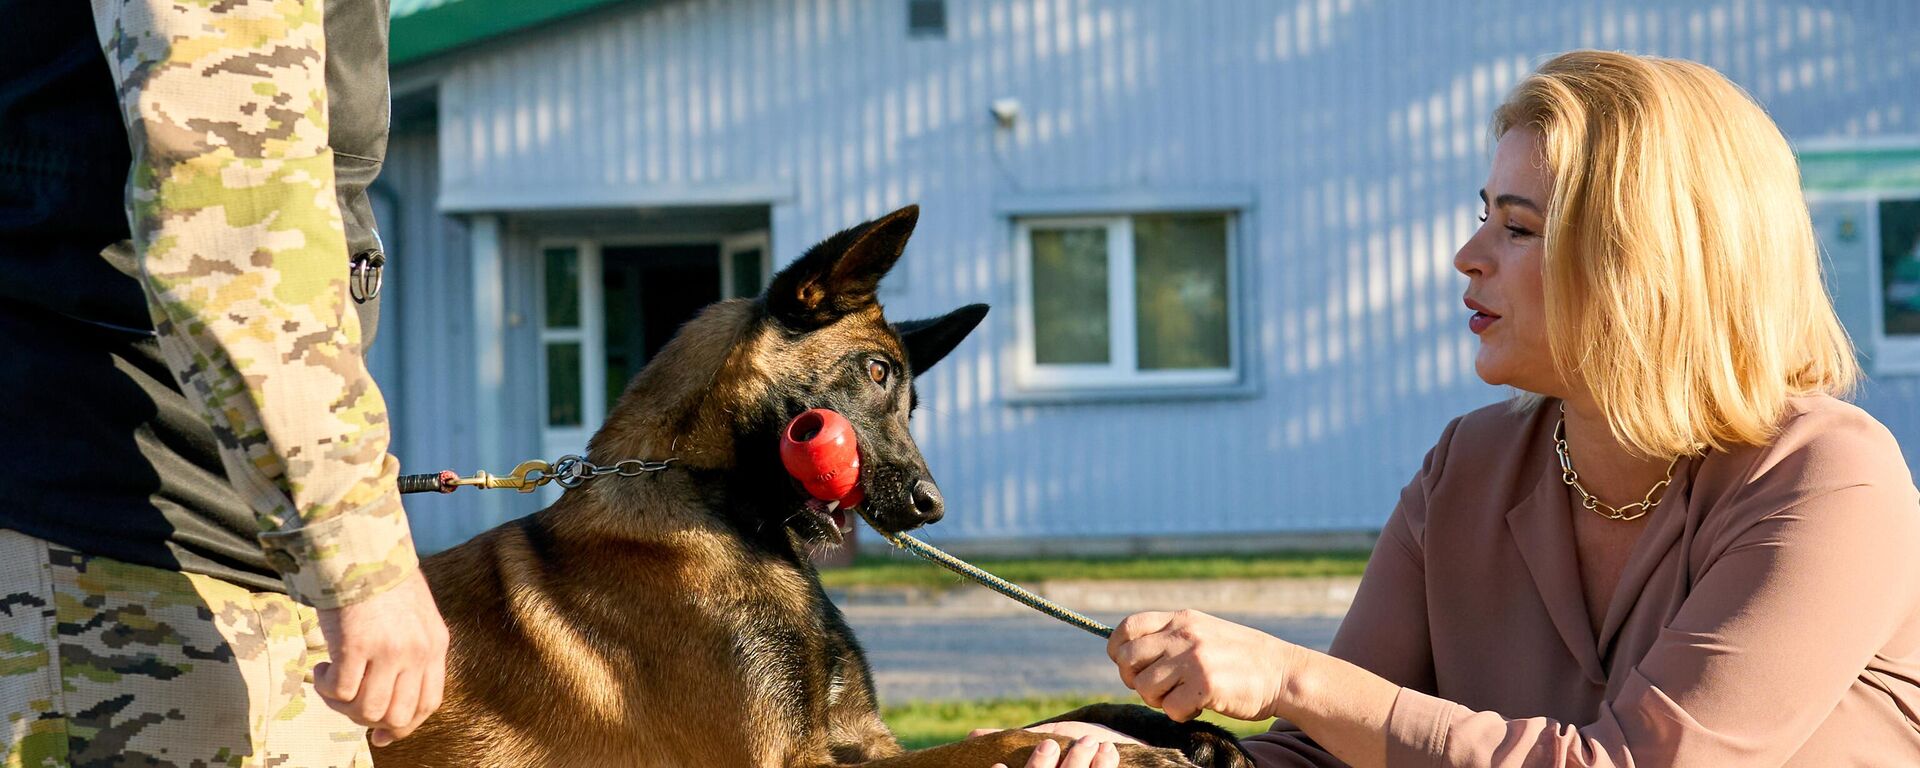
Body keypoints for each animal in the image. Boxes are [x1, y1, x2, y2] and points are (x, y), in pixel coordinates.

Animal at [370, 207, 1259, 764]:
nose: (932, 506)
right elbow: (1008, 741)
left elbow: (1050, 718)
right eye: (875, 373)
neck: (723, 515)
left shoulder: (865, 737)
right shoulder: (799, 761)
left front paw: (1177, 728)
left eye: (909, 396)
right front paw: (1143, 758)